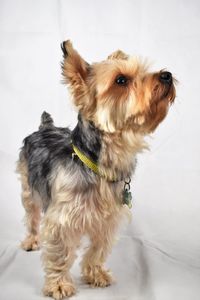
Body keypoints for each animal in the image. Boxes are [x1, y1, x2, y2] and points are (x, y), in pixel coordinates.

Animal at [16, 40, 176, 300]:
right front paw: (58, 284)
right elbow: (60, 252)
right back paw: (31, 240)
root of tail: (45, 127)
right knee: (31, 215)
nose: (167, 75)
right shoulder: (61, 218)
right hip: (28, 187)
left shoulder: (107, 219)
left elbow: (98, 249)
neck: (100, 165)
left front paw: (95, 273)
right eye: (121, 80)